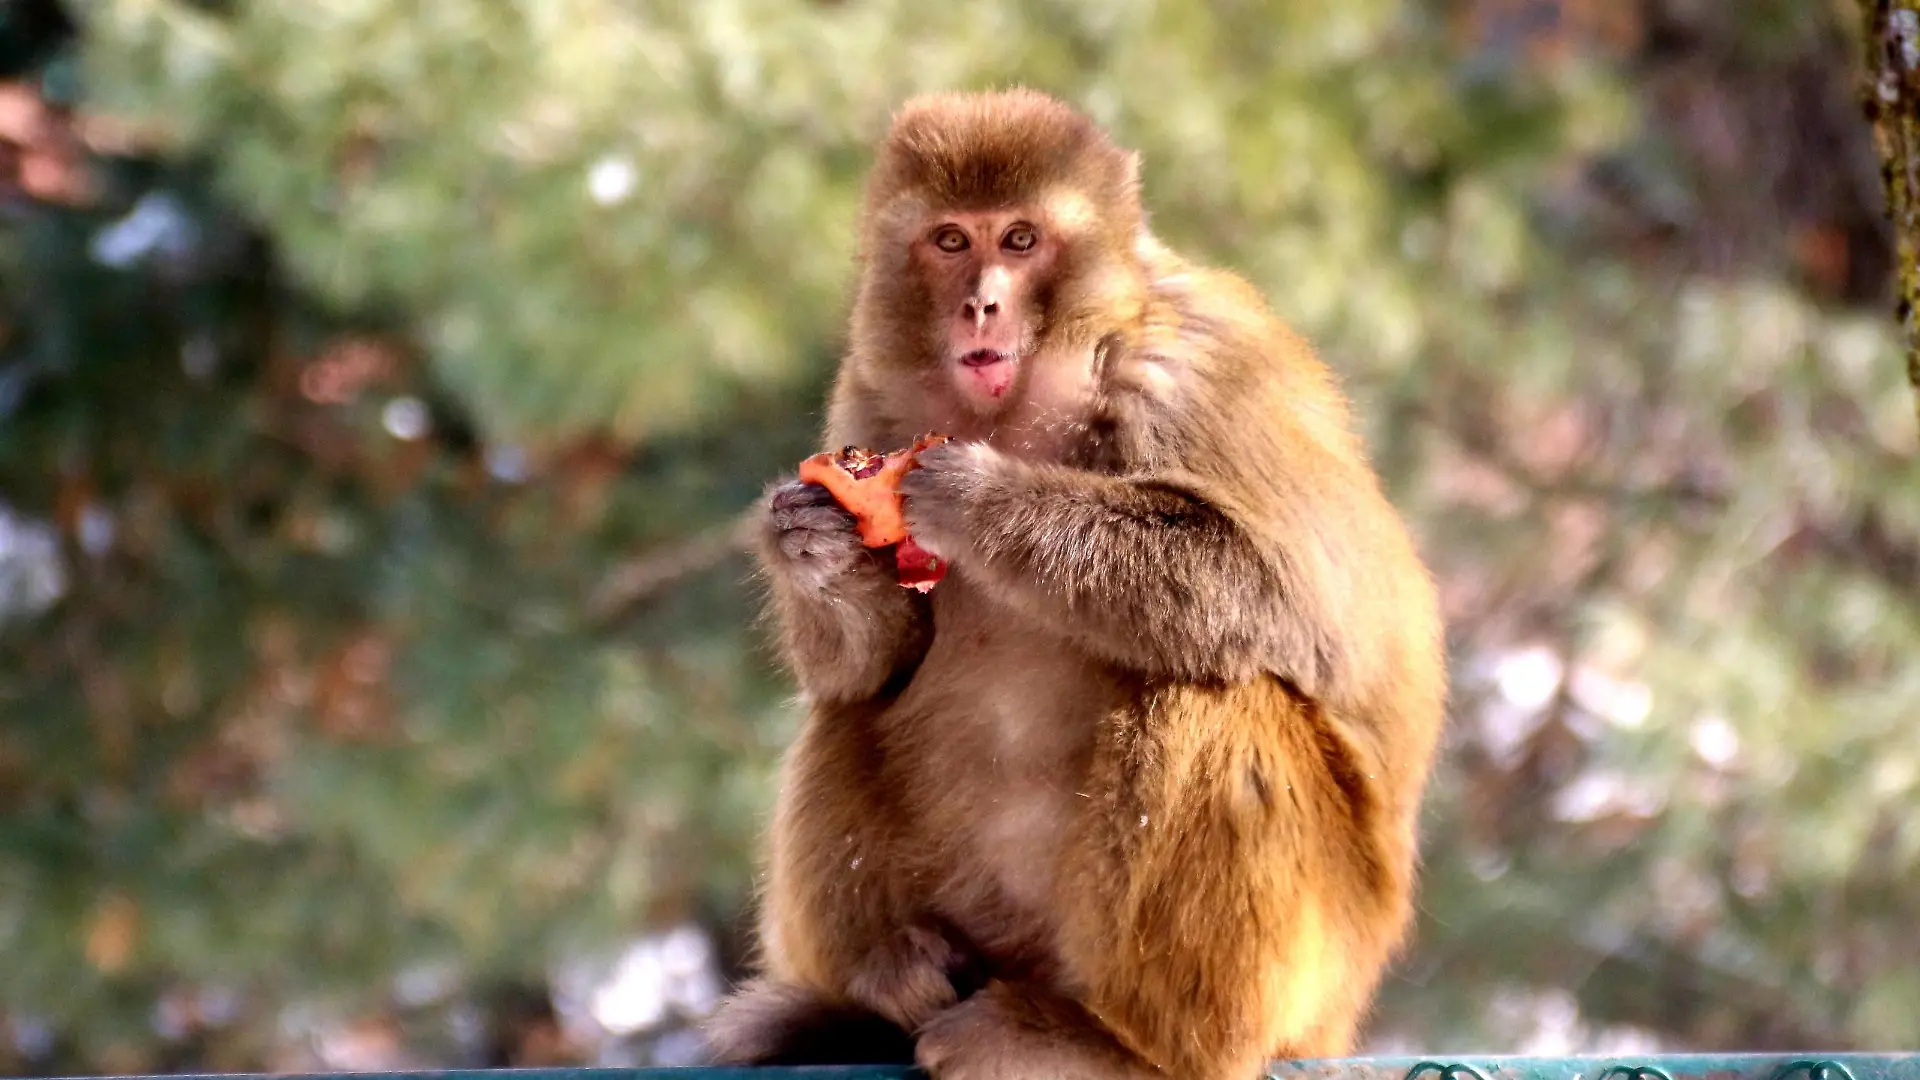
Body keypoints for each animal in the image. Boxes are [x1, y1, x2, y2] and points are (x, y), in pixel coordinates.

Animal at [703, 88, 1448, 1080]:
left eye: (1020, 239)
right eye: (951, 240)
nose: (981, 304)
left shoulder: (1196, 372)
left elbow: (1275, 592)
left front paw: (977, 498)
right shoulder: (868, 395)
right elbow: (875, 661)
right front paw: (810, 540)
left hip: (1318, 959)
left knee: (1217, 692)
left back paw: (1128, 1047)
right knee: (849, 706)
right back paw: (888, 976)